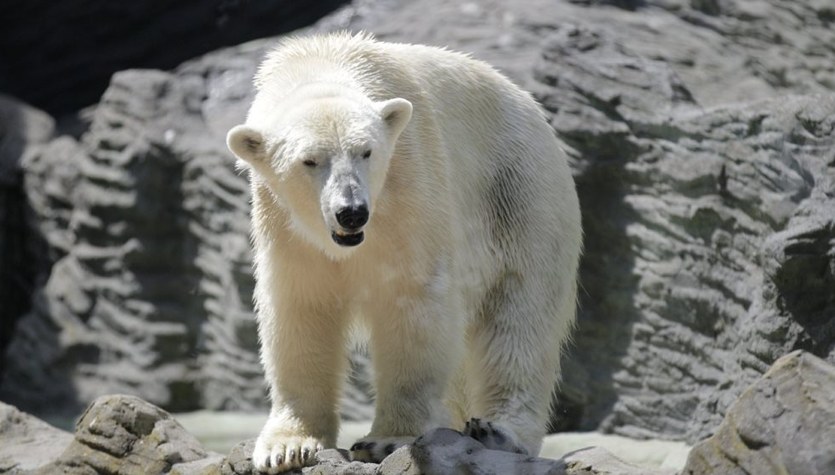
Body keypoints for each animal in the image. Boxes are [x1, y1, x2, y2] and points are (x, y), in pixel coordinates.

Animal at [225, 31, 584, 474]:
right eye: (309, 161)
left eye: (366, 152)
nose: (351, 212)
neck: (321, 59)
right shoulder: (281, 221)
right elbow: (302, 308)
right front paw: (287, 447)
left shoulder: (410, 181)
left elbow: (411, 299)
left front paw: (387, 438)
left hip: (520, 196)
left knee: (520, 318)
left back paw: (499, 431)